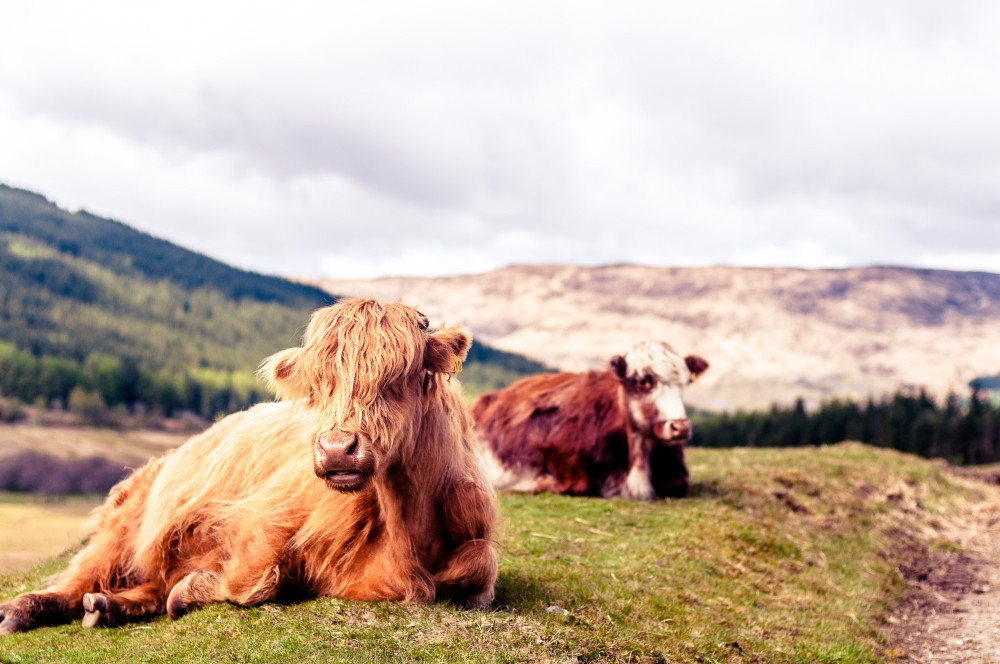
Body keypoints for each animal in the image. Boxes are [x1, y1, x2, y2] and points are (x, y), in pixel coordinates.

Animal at [0, 296, 500, 632]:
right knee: (80, 574)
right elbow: (252, 580)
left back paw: (104, 607)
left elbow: (478, 565)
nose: (336, 449)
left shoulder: (475, 541)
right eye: (317, 386)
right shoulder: (264, 516)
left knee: (146, 583)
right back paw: (20, 611)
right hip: (125, 518)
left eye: (399, 376)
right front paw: (195, 590)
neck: (405, 530)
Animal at [472, 342, 708, 498]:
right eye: (643, 382)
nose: (680, 427)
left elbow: (678, 484)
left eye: (685, 383)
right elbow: (578, 484)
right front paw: (540, 483)